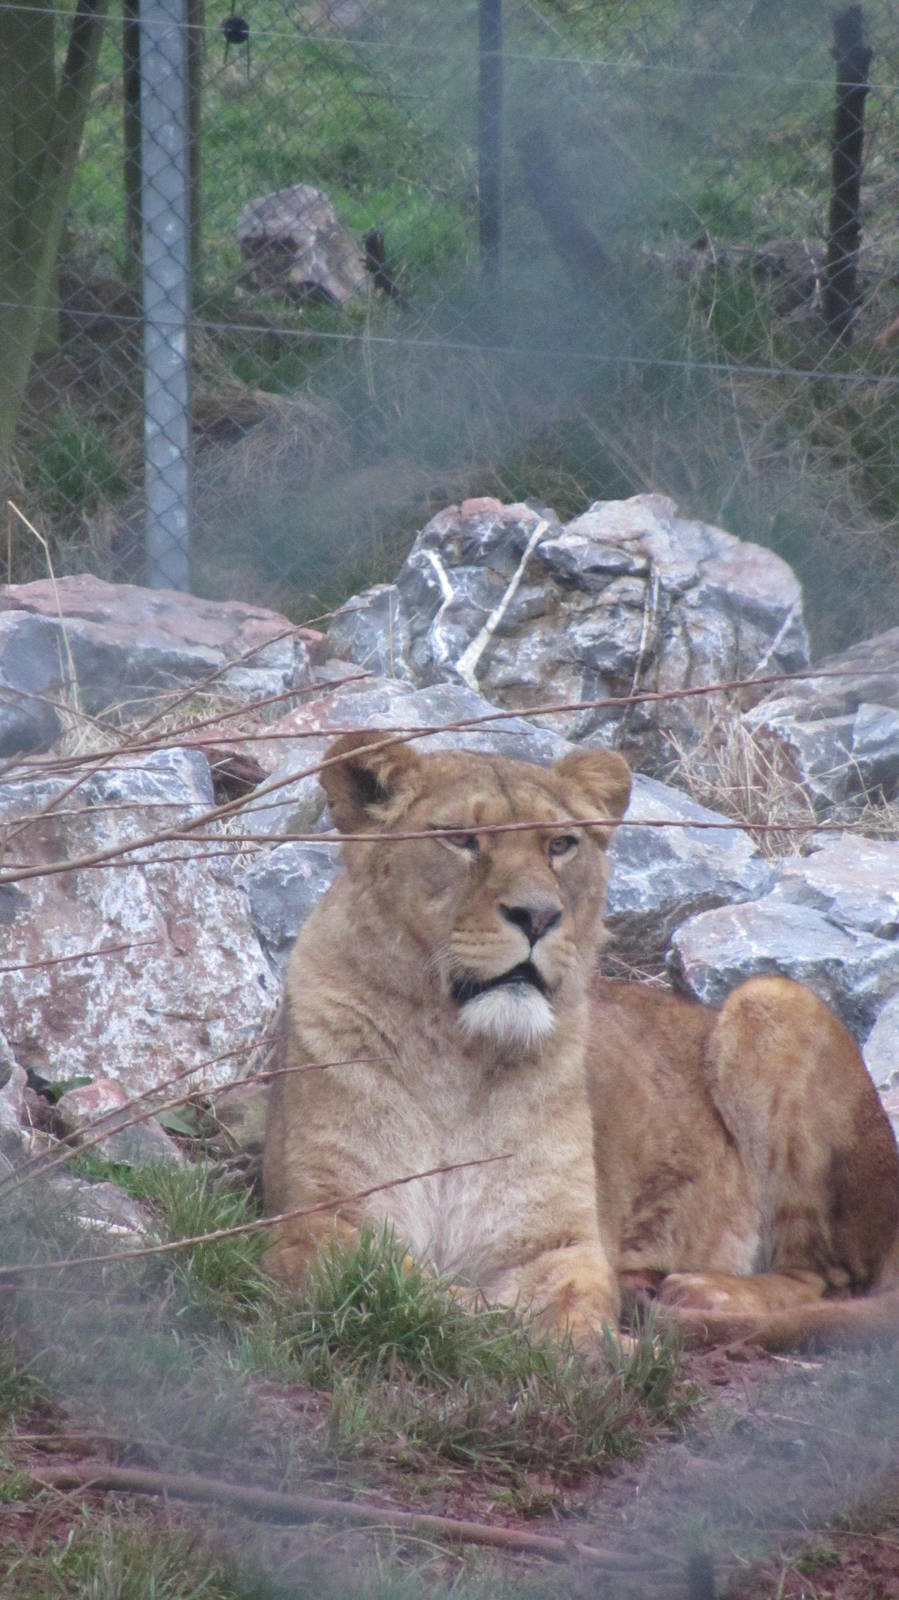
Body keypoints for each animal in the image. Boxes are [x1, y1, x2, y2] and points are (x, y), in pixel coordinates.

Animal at [262, 732, 899, 1350]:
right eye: (462, 839)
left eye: (561, 845)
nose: (538, 916)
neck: (456, 1057)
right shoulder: (314, 1222)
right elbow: (409, 1287)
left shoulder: (561, 1240)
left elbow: (571, 1304)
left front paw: (590, 1344)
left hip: (770, 999)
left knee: (825, 1278)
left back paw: (702, 1293)